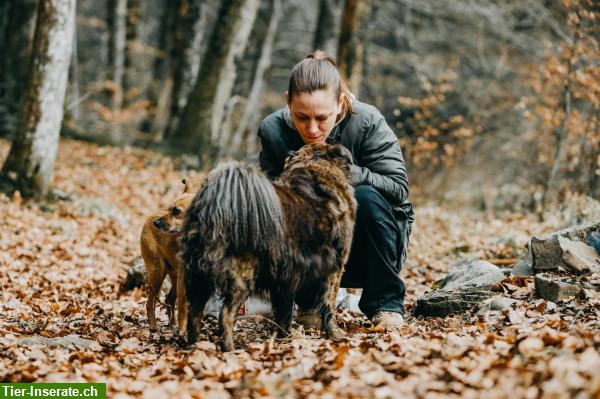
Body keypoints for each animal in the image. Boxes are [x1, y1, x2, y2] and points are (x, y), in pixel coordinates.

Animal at [141, 180, 195, 332]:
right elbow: (183, 308)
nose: (156, 223)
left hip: (174, 275)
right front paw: (183, 331)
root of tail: (150, 217)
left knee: (169, 299)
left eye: (176, 211)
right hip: (158, 272)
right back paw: (153, 326)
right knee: (150, 302)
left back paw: (172, 324)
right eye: (169, 209)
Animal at [180, 142, 354, 352]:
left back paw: (194, 345)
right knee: (226, 315)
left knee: (194, 312)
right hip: (242, 277)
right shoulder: (335, 268)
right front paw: (335, 334)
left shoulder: (287, 276)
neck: (314, 169)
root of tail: (215, 208)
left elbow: (284, 310)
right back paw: (230, 349)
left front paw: (284, 337)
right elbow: (328, 306)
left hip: (198, 276)